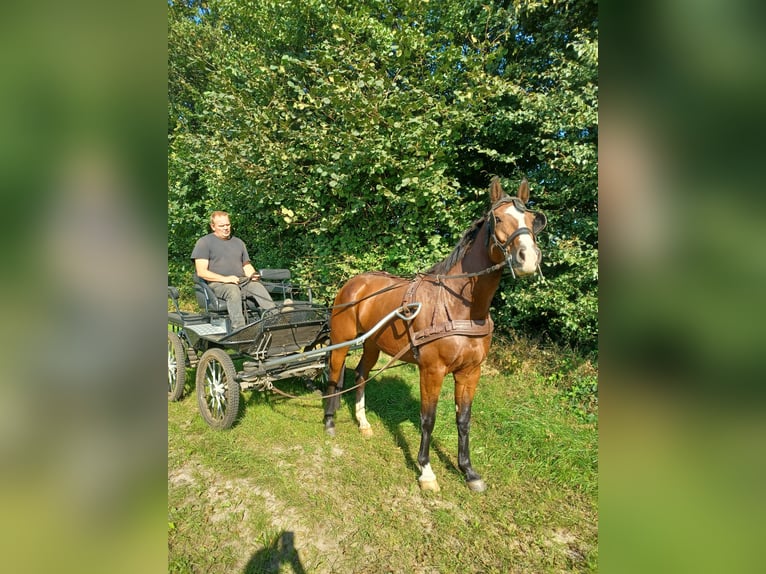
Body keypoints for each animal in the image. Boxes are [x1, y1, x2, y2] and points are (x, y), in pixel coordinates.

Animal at [322, 178, 544, 492]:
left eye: (532, 220)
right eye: (499, 218)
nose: (528, 258)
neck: (460, 307)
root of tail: (355, 282)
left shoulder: (470, 371)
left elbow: (463, 419)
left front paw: (468, 471)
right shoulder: (432, 370)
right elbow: (428, 419)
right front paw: (426, 470)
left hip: (373, 344)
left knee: (361, 374)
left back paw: (363, 422)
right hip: (342, 341)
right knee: (334, 373)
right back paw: (329, 421)